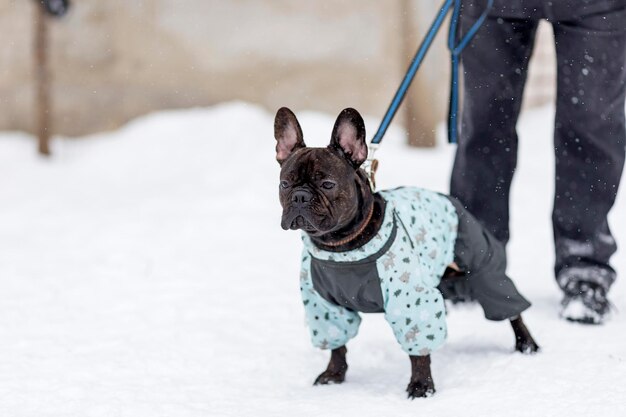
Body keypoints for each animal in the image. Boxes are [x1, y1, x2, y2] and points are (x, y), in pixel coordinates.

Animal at [272, 106, 536, 396]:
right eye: (284, 184)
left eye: (328, 184)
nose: (300, 196)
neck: (339, 245)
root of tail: (450, 200)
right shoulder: (324, 306)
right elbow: (337, 345)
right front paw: (333, 375)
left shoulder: (411, 300)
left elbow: (418, 351)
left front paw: (422, 386)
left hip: (483, 270)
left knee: (510, 307)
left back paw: (527, 345)